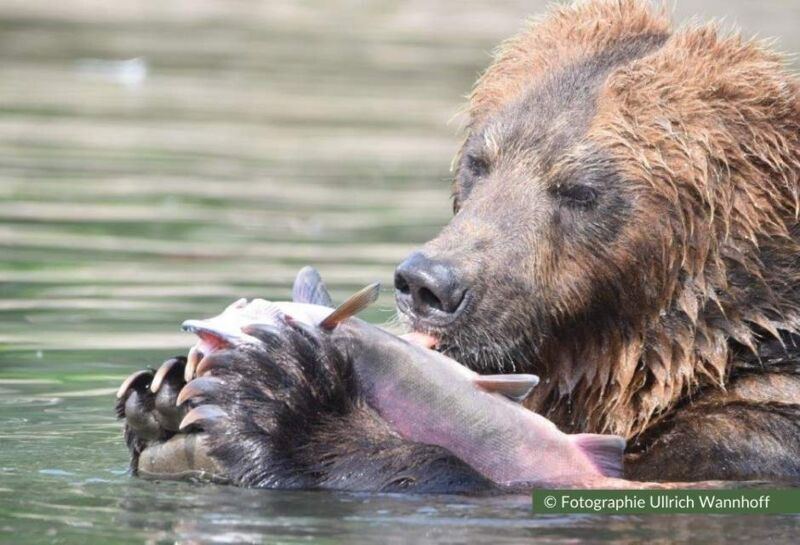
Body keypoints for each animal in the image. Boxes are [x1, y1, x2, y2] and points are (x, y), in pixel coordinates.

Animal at [116, 0, 800, 491]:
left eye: (581, 189)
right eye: (479, 160)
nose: (428, 283)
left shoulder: (743, 440)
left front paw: (281, 392)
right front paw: (163, 390)